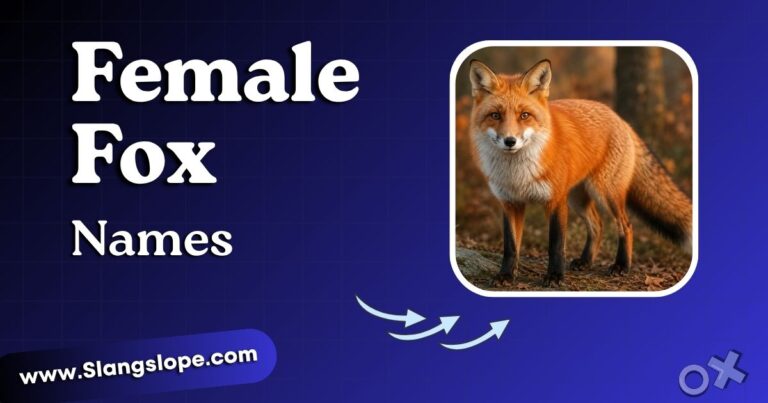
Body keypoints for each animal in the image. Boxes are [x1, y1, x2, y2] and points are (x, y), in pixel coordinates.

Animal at [467, 59, 692, 287]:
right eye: (495, 115)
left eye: (524, 115)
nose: (510, 141)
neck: (517, 175)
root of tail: (621, 119)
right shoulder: (510, 203)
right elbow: (510, 246)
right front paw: (505, 275)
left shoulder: (556, 200)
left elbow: (556, 244)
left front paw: (555, 276)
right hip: (578, 199)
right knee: (598, 225)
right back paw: (586, 261)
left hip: (605, 193)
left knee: (626, 225)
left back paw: (621, 266)